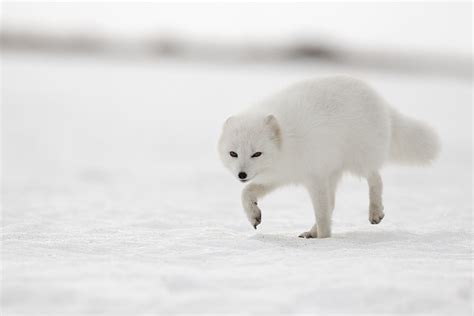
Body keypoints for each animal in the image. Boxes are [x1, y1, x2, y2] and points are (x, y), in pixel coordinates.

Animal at [218, 75, 440, 238]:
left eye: (256, 153)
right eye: (233, 153)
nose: (241, 174)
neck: (287, 144)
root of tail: (382, 103)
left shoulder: (315, 176)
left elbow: (323, 213)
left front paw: (325, 241)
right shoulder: (279, 176)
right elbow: (246, 192)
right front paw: (253, 215)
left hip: (357, 158)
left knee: (375, 178)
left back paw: (375, 212)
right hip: (333, 172)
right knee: (334, 201)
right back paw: (311, 232)